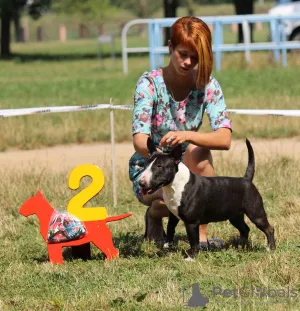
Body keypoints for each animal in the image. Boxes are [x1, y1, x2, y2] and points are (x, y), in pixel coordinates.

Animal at [139, 139, 276, 258]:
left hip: (255, 212)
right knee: (245, 229)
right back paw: (242, 247)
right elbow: (170, 227)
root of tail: (246, 180)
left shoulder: (192, 222)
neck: (175, 185)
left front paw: (191, 257)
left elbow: (193, 241)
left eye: (159, 166)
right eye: (145, 164)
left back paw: (270, 248)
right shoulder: (173, 214)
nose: (141, 182)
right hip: (235, 216)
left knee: (269, 228)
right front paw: (167, 245)